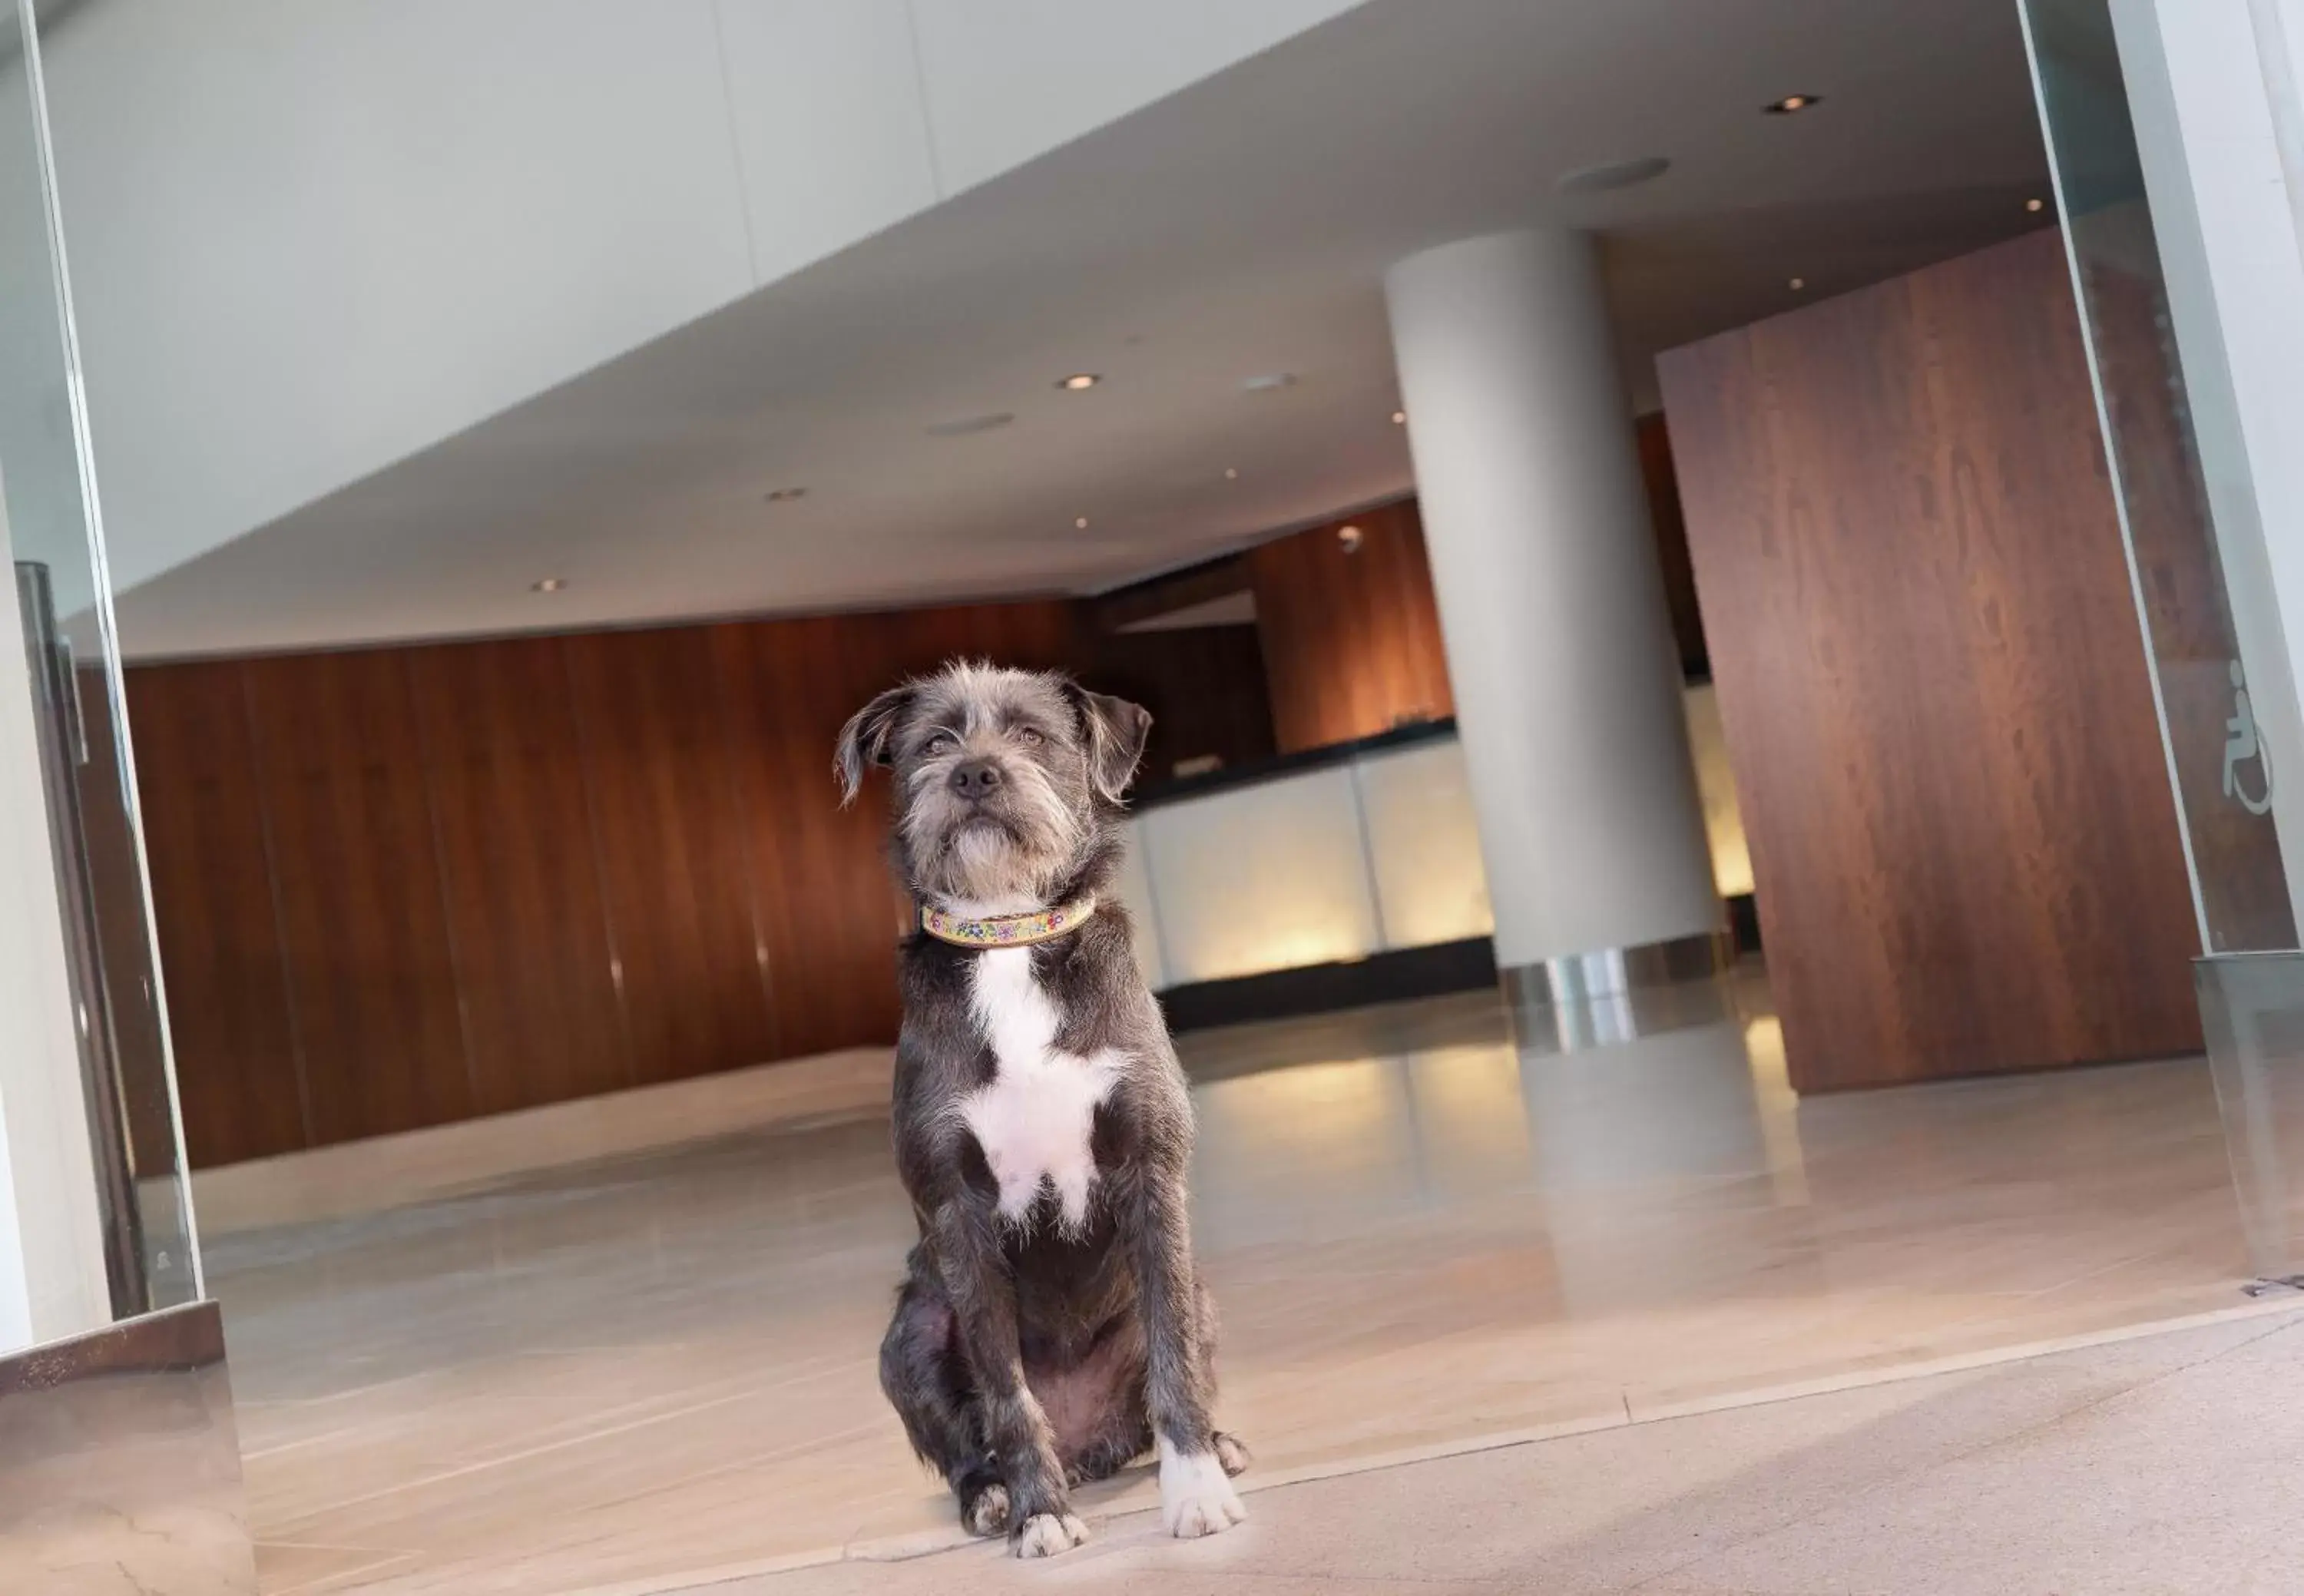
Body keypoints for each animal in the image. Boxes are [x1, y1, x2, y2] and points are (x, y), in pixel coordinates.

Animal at [839, 658, 1253, 1557]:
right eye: (933, 743)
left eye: (1032, 734)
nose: (974, 774)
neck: (1010, 937)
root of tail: (1089, 1447)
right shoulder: (957, 1209)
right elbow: (1005, 1392)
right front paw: (1039, 1512)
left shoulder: (1148, 1171)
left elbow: (1173, 1360)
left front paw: (1195, 1488)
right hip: (911, 1332)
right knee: (968, 1442)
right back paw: (992, 1494)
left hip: (1198, 1286)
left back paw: (1217, 1443)